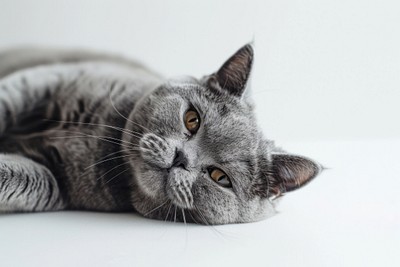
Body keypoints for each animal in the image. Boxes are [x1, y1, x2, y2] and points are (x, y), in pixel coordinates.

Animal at [0, 45, 320, 225]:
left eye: (219, 177)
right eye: (192, 120)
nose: (181, 159)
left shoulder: (57, 185)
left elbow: (27, 179)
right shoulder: (45, 79)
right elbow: (8, 99)